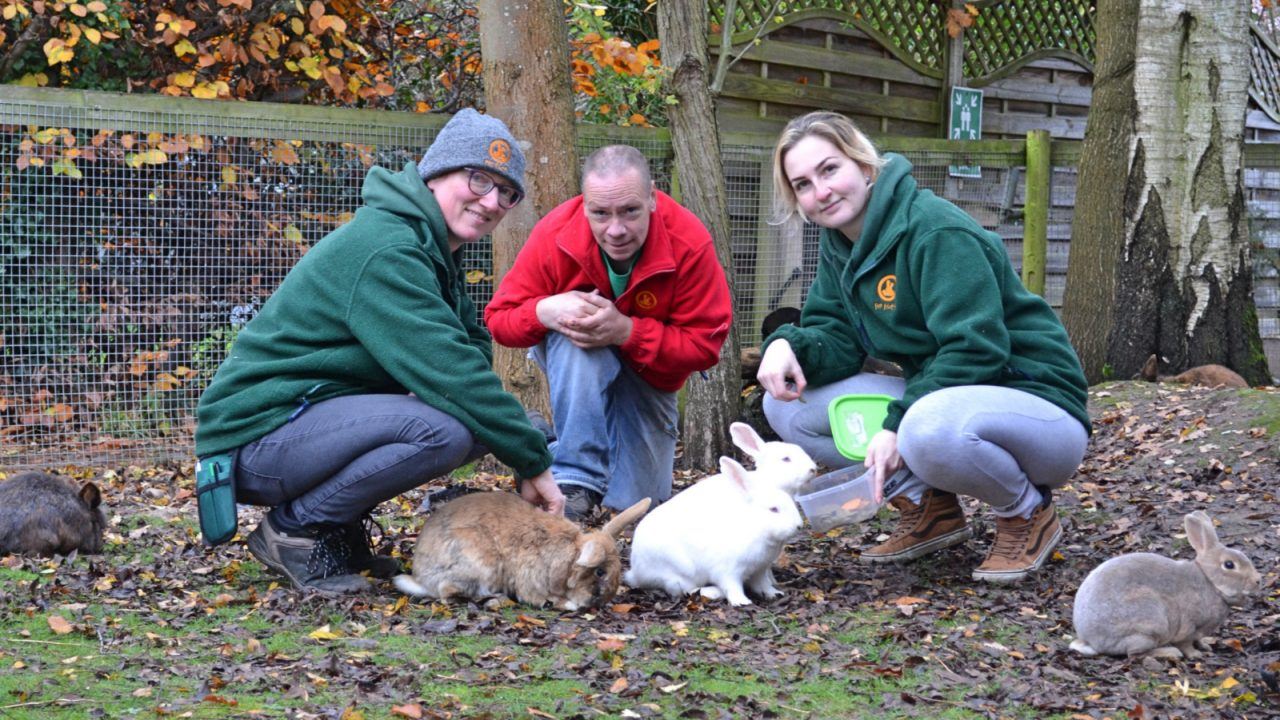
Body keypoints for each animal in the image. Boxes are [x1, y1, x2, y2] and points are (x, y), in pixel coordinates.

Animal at [391, 489, 650, 607]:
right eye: (600, 571)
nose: (600, 601)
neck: (570, 557)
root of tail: (421, 577)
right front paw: (568, 604)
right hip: (480, 562)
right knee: (448, 592)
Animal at [624, 425, 814, 604]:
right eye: (786, 458)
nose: (813, 469)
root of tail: (635, 570)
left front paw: (772, 586)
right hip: (679, 571)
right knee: (684, 589)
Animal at [1070, 509, 1259, 655]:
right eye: (1229, 565)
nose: (1258, 580)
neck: (1209, 581)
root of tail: (1091, 641)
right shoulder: (1189, 626)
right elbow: (1186, 643)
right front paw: (1195, 655)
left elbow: (1198, 640)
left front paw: (1205, 647)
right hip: (1149, 624)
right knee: (1135, 653)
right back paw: (1170, 653)